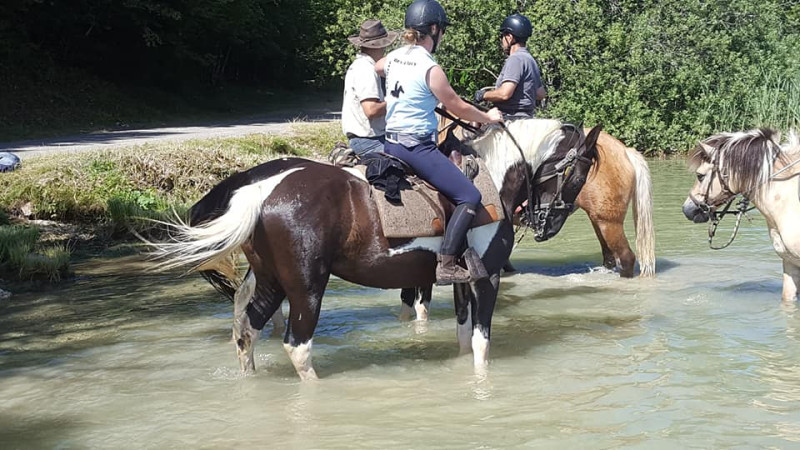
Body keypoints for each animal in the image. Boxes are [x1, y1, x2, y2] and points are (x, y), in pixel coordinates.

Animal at [148, 119, 600, 380]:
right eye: (580, 173)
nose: (547, 225)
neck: (492, 174)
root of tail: (261, 188)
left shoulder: (460, 279)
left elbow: (461, 332)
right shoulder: (486, 277)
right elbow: (480, 342)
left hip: (270, 279)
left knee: (248, 330)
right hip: (306, 286)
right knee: (297, 344)